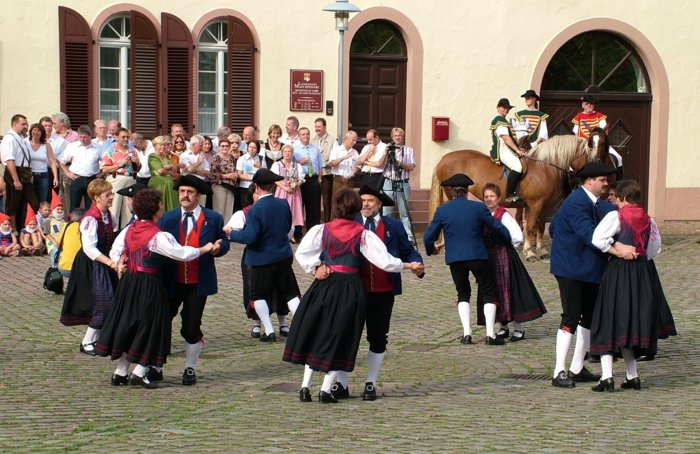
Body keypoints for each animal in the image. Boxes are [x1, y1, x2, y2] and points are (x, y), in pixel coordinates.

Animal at [430, 135, 600, 260]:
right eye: (590, 158)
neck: (544, 167)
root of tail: (444, 158)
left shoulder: (544, 206)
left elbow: (540, 226)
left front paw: (542, 251)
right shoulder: (535, 205)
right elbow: (530, 226)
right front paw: (529, 253)